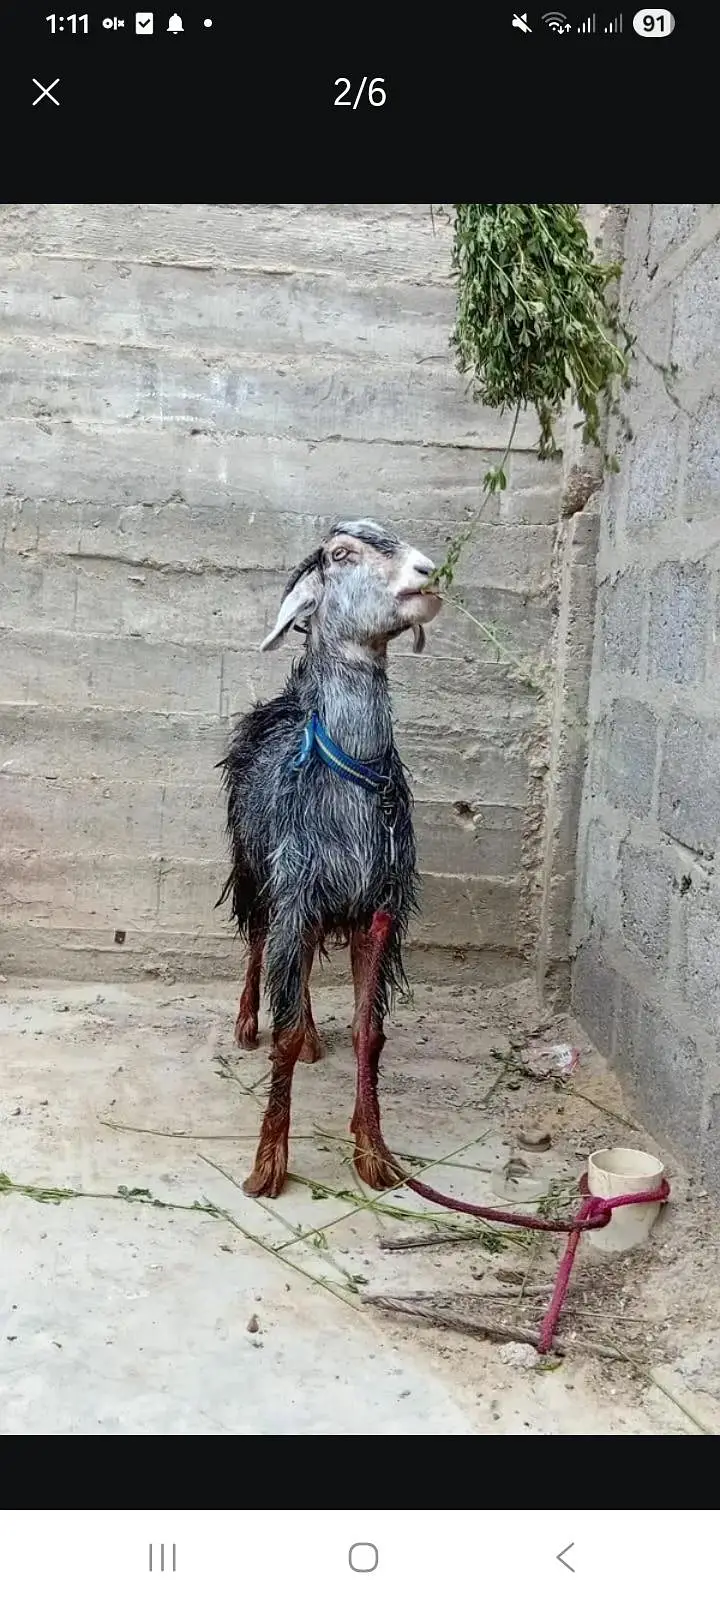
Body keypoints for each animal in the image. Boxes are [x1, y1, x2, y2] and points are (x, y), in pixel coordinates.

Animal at [217, 518, 441, 1199]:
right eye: (341, 554)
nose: (429, 572)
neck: (350, 777)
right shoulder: (295, 888)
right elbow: (283, 1032)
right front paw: (267, 1166)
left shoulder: (379, 908)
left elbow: (371, 1033)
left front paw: (374, 1152)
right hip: (255, 867)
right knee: (258, 940)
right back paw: (246, 1023)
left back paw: (317, 1036)